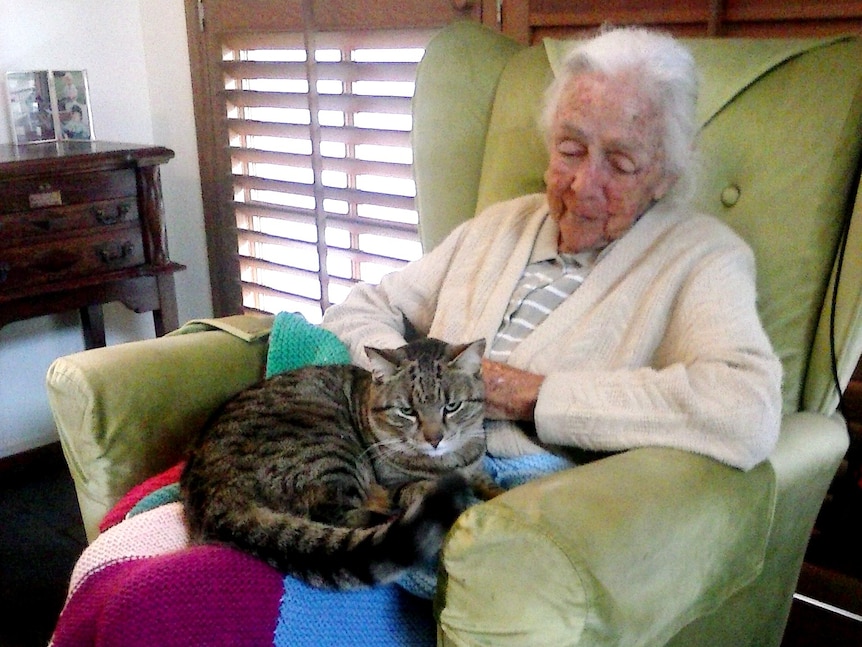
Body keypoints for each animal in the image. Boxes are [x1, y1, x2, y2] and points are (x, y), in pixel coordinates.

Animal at [181, 340, 492, 592]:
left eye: (452, 406)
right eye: (407, 411)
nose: (434, 439)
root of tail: (213, 498)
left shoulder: (475, 469)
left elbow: (486, 482)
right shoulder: (396, 482)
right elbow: (425, 489)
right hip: (331, 452)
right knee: (339, 514)